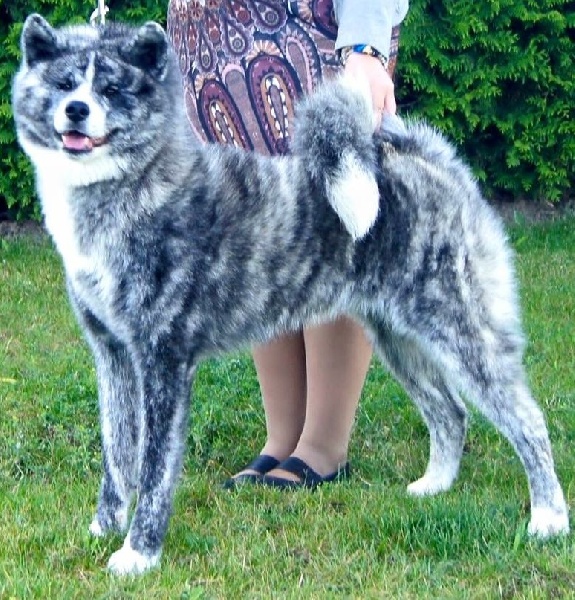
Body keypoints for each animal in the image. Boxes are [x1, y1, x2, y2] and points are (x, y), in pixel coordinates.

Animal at [12, 14, 569, 575]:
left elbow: (153, 469)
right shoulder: (113, 357)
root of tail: (426, 160)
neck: (138, 185)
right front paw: (103, 527)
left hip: (461, 330)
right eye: (64, 83)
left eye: (112, 89)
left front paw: (139, 553)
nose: (77, 110)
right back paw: (435, 486)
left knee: (526, 420)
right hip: (398, 338)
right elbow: (117, 454)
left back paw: (548, 518)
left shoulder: (164, 361)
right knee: (450, 412)